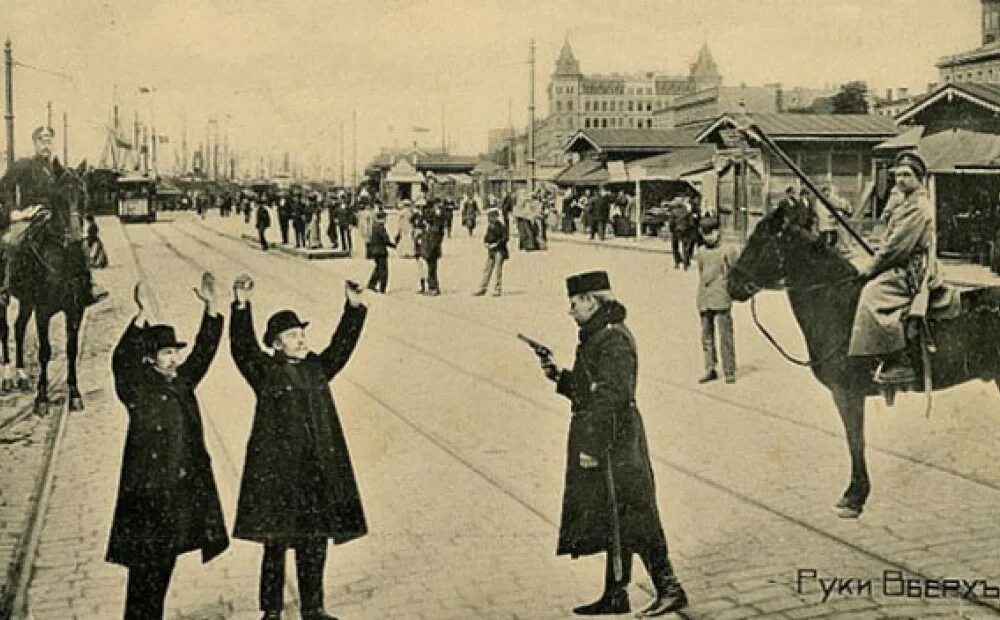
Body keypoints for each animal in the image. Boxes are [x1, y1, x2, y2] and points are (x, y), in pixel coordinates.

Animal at [1, 160, 91, 412]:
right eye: (59, 197)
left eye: (83, 194)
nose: (77, 239)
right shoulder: (43, 311)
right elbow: (44, 352)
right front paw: (41, 398)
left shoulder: (75, 311)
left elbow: (72, 350)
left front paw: (75, 394)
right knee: (5, 330)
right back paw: (8, 376)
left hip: (25, 301)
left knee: (19, 327)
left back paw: (22, 375)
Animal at [728, 202, 1000, 520]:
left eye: (760, 240)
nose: (732, 284)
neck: (837, 303)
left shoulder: (847, 394)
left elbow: (855, 441)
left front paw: (853, 497)